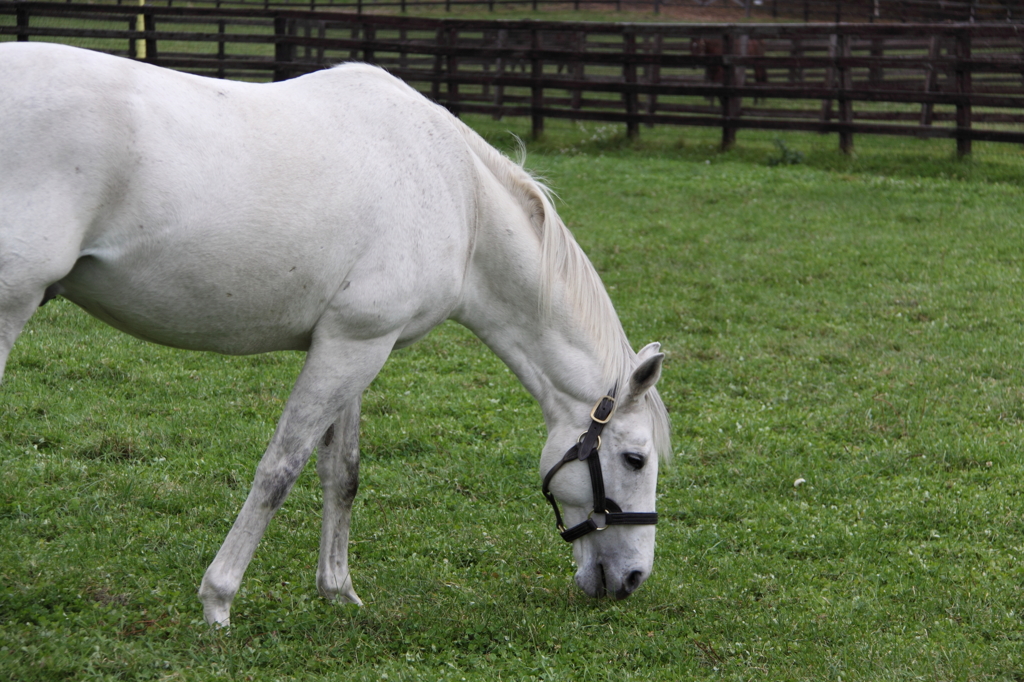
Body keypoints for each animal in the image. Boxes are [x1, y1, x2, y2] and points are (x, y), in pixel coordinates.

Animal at [2, 43, 671, 626]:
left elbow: (341, 472)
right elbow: (281, 468)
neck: (461, 199)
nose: (634, 579)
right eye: (634, 458)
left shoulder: (355, 345)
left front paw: (338, 591)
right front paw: (218, 601)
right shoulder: (354, 346)